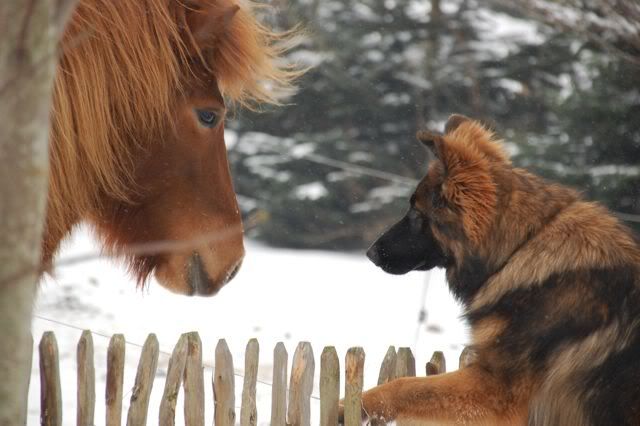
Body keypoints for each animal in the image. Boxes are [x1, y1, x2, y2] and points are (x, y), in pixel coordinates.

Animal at [356, 114, 640, 426]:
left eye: (417, 214)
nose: (370, 253)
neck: (520, 246)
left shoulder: (494, 390)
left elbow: (407, 386)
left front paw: (354, 403)